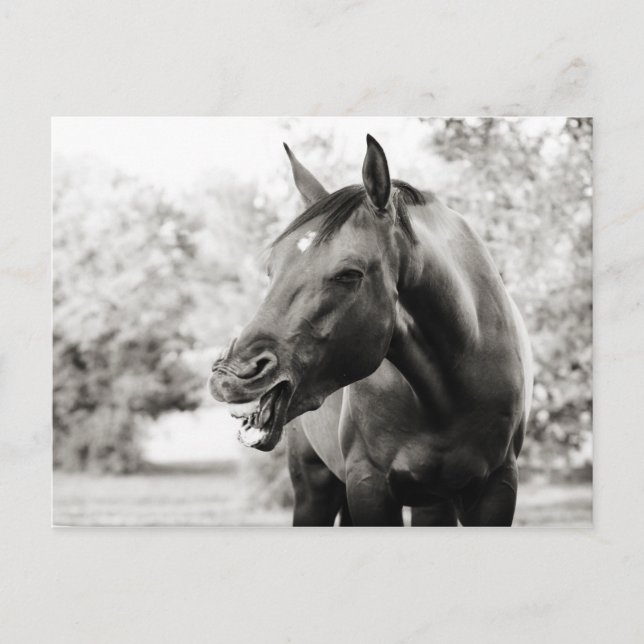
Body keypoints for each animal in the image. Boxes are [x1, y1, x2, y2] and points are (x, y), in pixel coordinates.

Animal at [209, 135, 533, 526]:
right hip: (314, 485)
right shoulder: (369, 485)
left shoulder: (496, 488)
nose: (230, 377)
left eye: (349, 274)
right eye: (272, 269)